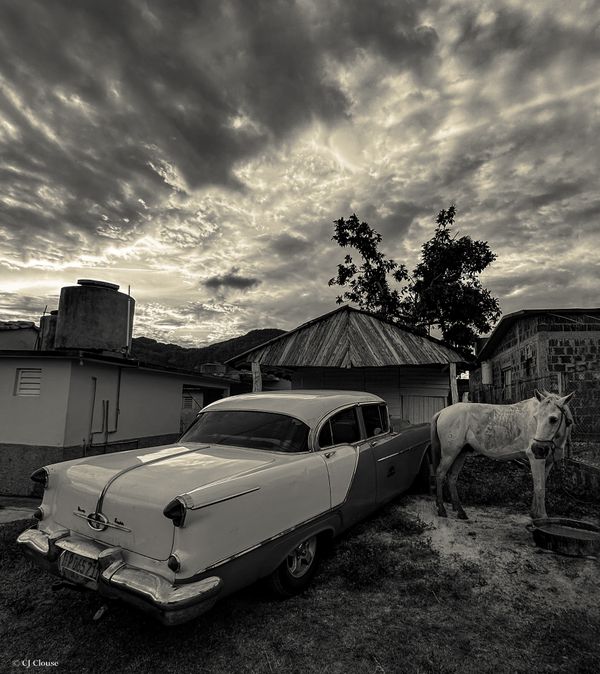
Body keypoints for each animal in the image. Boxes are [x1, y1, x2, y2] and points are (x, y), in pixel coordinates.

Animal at [428, 388, 576, 520]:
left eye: (553, 419)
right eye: (536, 417)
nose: (537, 448)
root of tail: (442, 412)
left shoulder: (547, 461)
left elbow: (540, 486)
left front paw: (534, 514)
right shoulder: (536, 459)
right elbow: (540, 489)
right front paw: (542, 518)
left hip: (461, 453)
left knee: (452, 477)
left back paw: (460, 511)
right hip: (450, 453)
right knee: (440, 473)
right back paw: (441, 509)